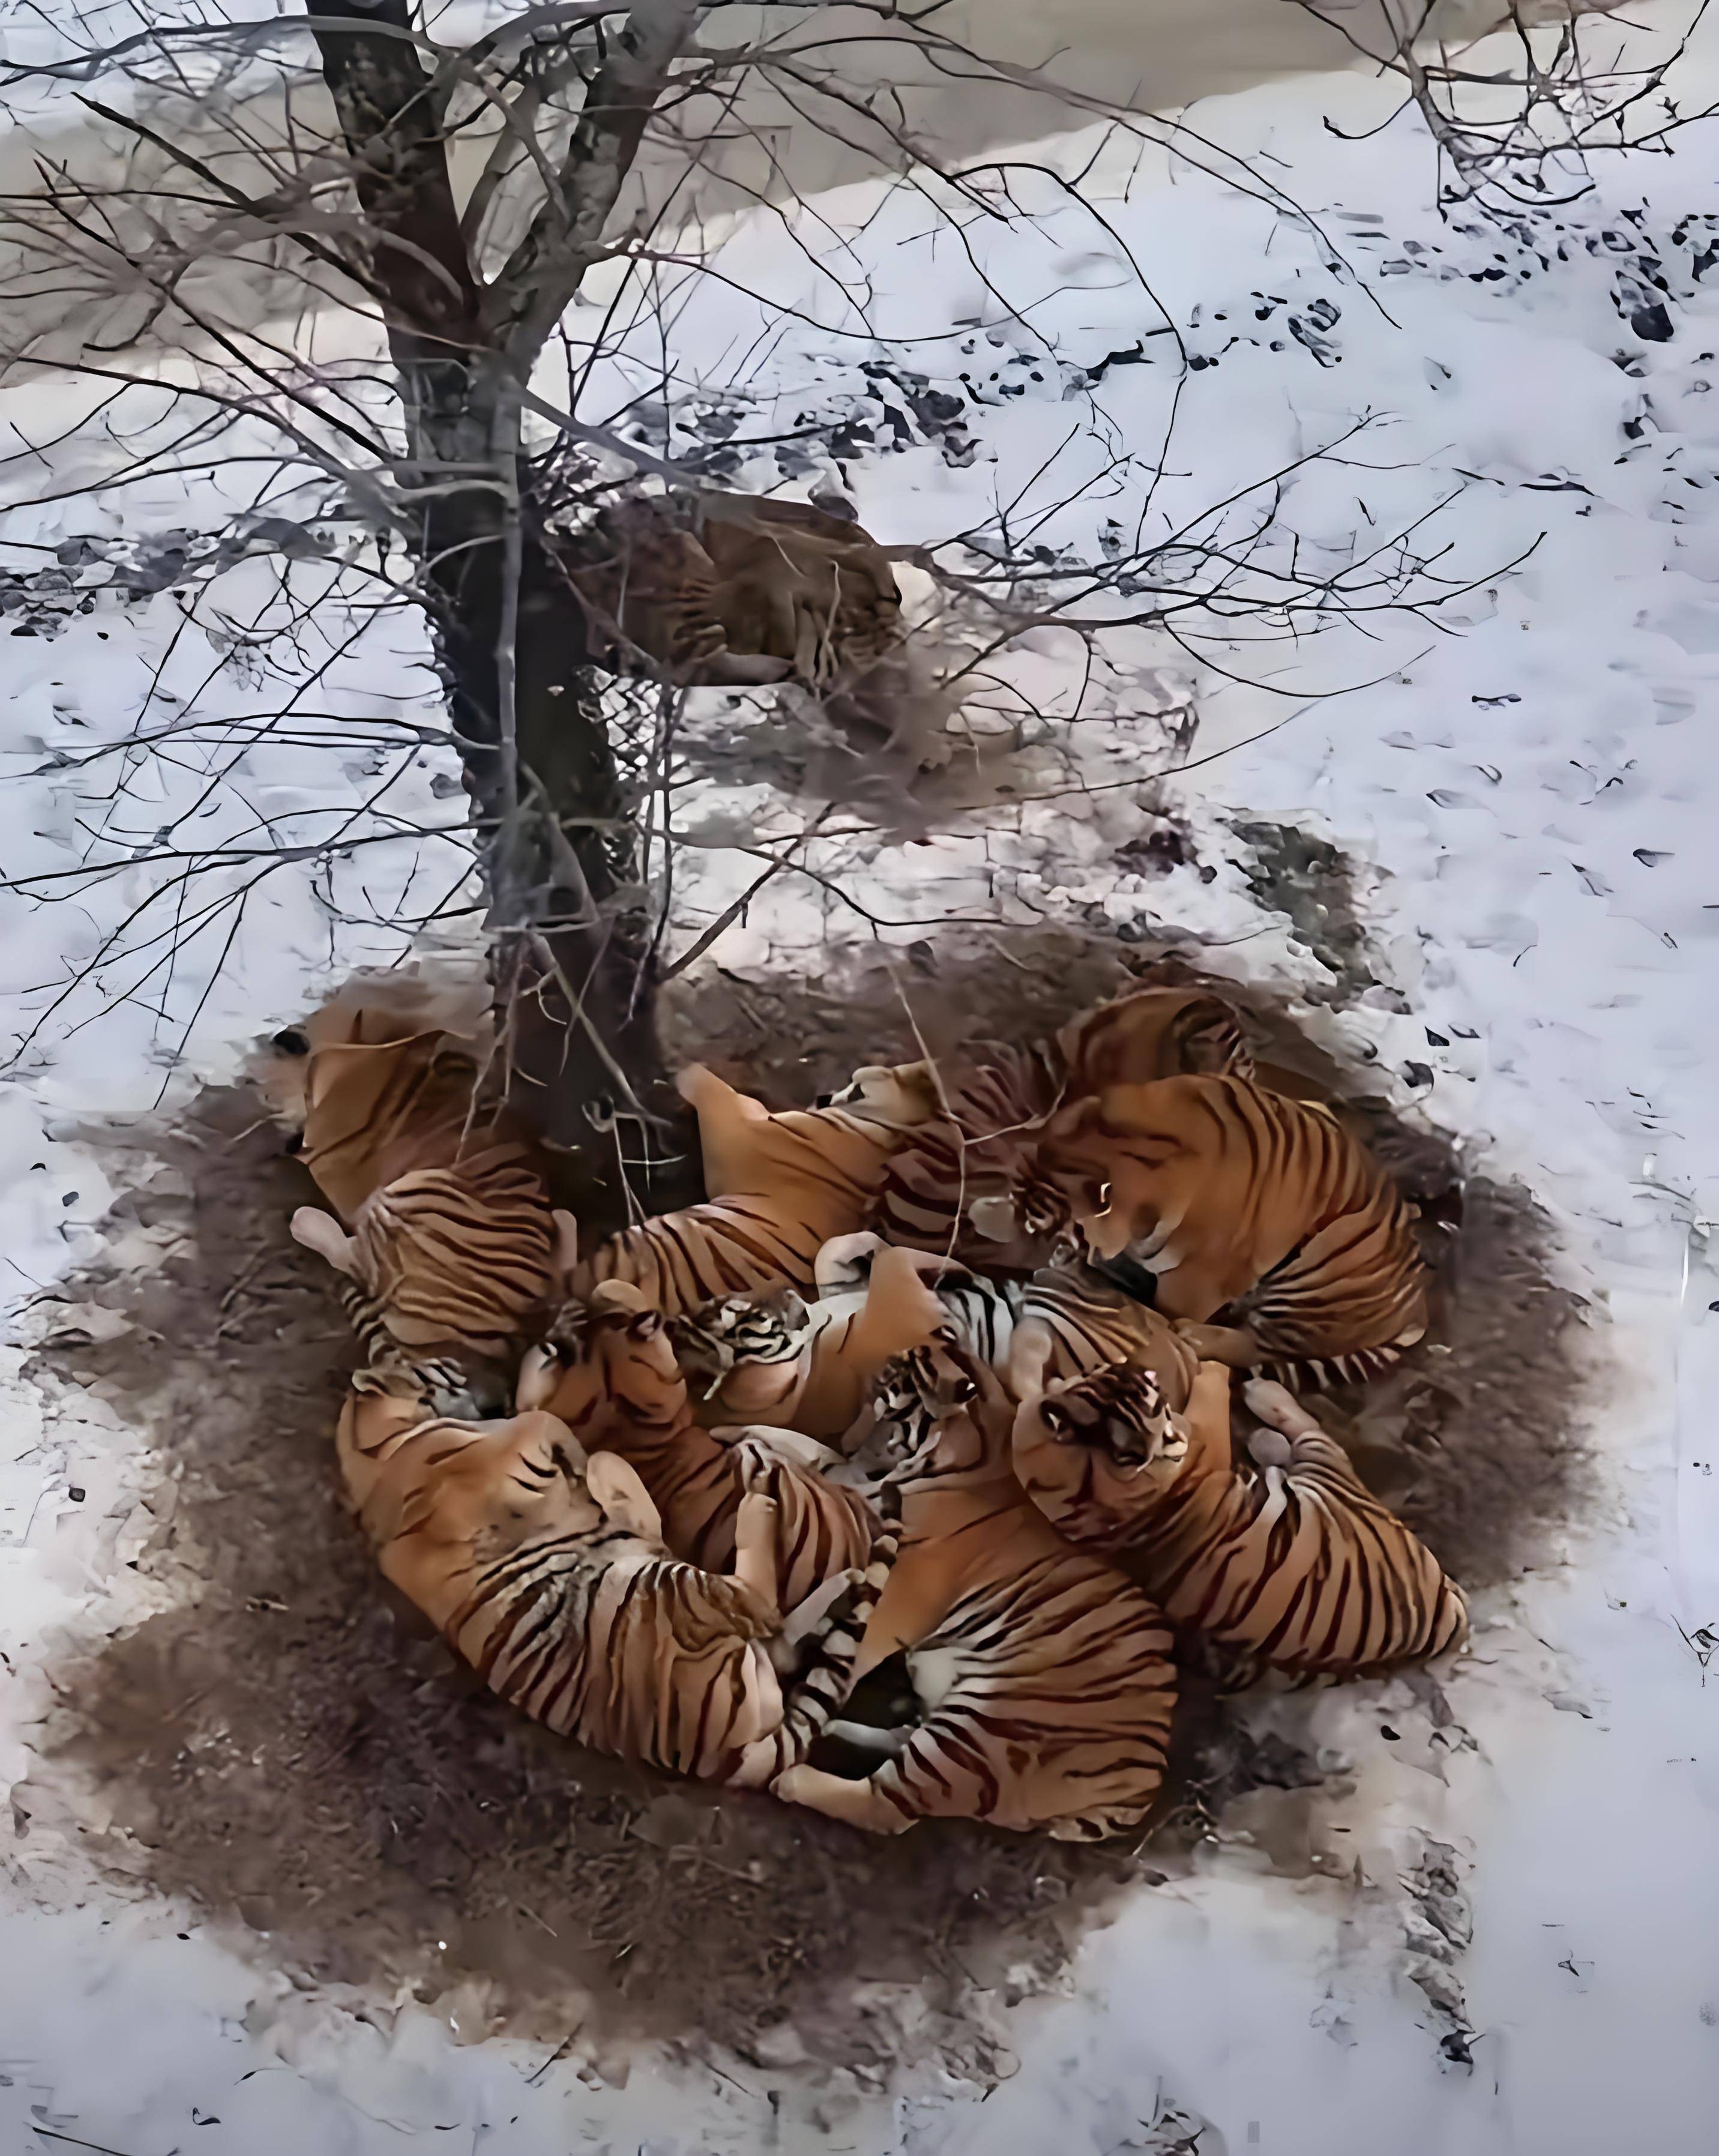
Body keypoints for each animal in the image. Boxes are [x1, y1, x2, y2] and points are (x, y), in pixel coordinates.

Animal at [335, 1357, 896, 1790]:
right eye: (449, 1365)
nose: (493, 1370)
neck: (379, 1449)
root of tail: (720, 1760)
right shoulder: (509, 1445)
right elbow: (547, 1420)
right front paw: (589, 1464)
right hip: (666, 1590)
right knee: (755, 1600)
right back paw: (742, 1500)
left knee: (779, 1637)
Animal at [769, 1339, 1178, 1841]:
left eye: (896, 1392)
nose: (851, 1448)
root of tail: (1147, 1777)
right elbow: (799, 1449)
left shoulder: (906, 1587)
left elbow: (857, 1646)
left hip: (987, 1728)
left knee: (887, 1806)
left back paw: (791, 1777)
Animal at [1010, 1363, 1467, 1679]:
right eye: (1151, 1397)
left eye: (1109, 1373)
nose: (1138, 1368)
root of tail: (1444, 1620)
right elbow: (1210, 1387)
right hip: (1331, 1473)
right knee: (1304, 1427)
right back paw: (1263, 1402)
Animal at [1013, 1074, 1428, 1386]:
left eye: (1048, 1227)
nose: (1024, 1270)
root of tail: (1417, 1310)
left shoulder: (1195, 1283)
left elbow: (1164, 1310)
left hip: (1322, 1269)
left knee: (1258, 1344)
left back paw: (1196, 1337)